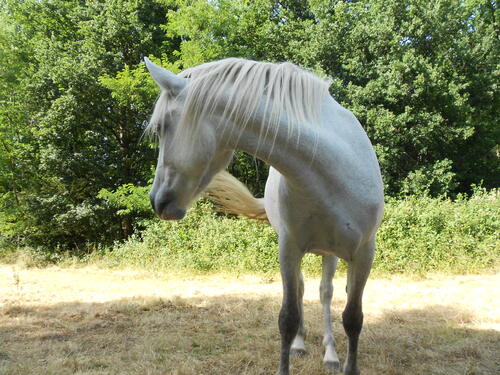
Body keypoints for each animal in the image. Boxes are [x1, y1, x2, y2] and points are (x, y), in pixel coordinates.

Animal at [144, 56, 382, 375]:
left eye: (162, 127)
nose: (156, 200)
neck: (331, 170)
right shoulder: (288, 248)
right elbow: (288, 318)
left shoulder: (365, 253)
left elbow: (353, 318)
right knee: (303, 290)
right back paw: (300, 345)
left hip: (330, 253)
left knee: (325, 293)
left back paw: (330, 354)